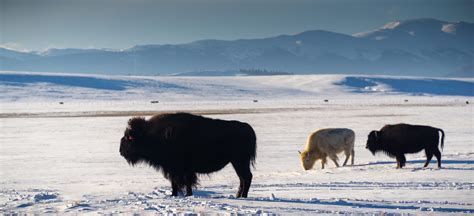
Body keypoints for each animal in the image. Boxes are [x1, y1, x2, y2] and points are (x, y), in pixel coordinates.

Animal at [120, 112, 258, 198]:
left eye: (129, 138)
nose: (120, 151)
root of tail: (248, 128)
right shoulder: (174, 170)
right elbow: (176, 183)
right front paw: (175, 194)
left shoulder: (181, 170)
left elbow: (184, 182)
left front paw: (185, 194)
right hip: (237, 162)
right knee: (242, 178)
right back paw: (238, 196)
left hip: (240, 161)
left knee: (246, 177)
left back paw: (243, 196)